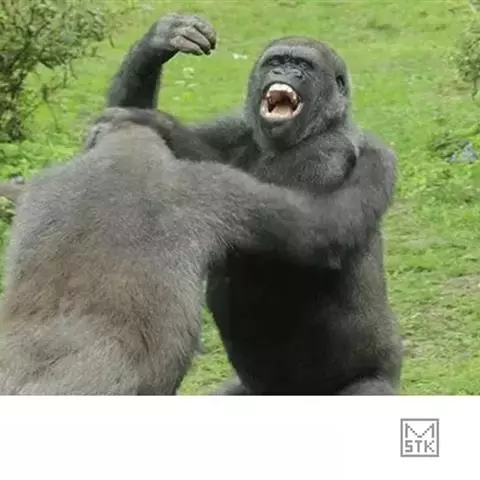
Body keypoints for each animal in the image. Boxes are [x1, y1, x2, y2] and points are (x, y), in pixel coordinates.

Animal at [106, 13, 403, 395]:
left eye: (303, 66)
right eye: (277, 61)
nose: (287, 73)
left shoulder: (324, 154)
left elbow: (303, 232)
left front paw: (159, 123)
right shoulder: (234, 125)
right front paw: (161, 39)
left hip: (374, 380)